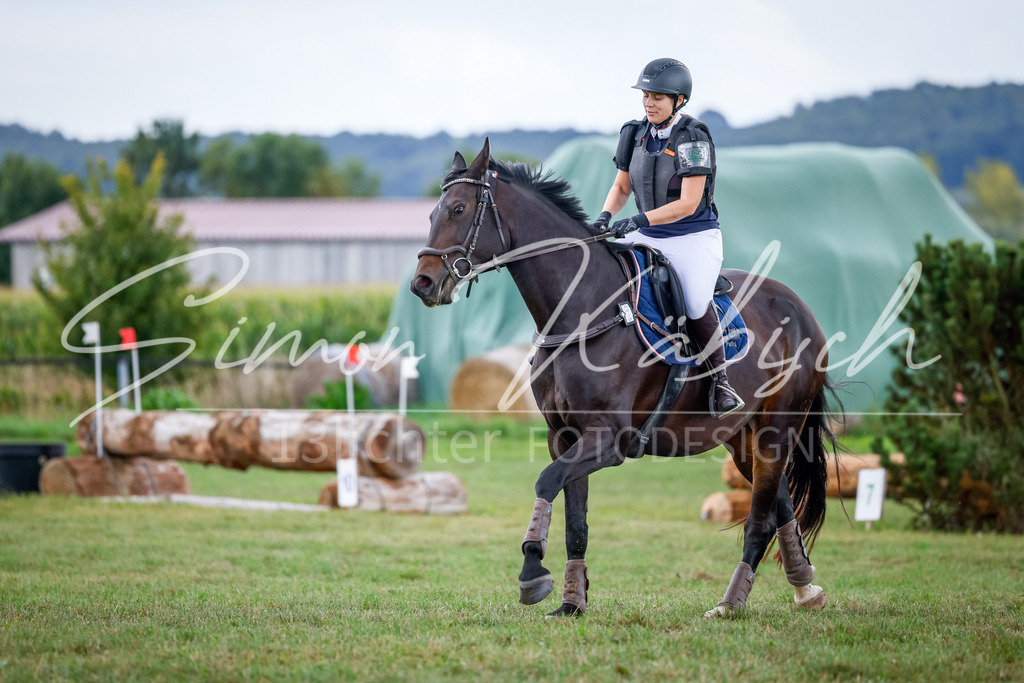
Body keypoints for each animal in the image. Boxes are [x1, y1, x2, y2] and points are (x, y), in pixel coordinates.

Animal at [411, 139, 841, 618]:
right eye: (432, 214)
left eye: (459, 209)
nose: (423, 283)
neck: (582, 310)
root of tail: (801, 309)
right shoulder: (565, 436)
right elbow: (574, 522)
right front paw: (571, 602)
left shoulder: (609, 440)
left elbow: (546, 481)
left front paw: (532, 573)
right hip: (743, 440)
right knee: (781, 504)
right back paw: (806, 588)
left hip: (774, 434)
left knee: (760, 521)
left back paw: (730, 605)